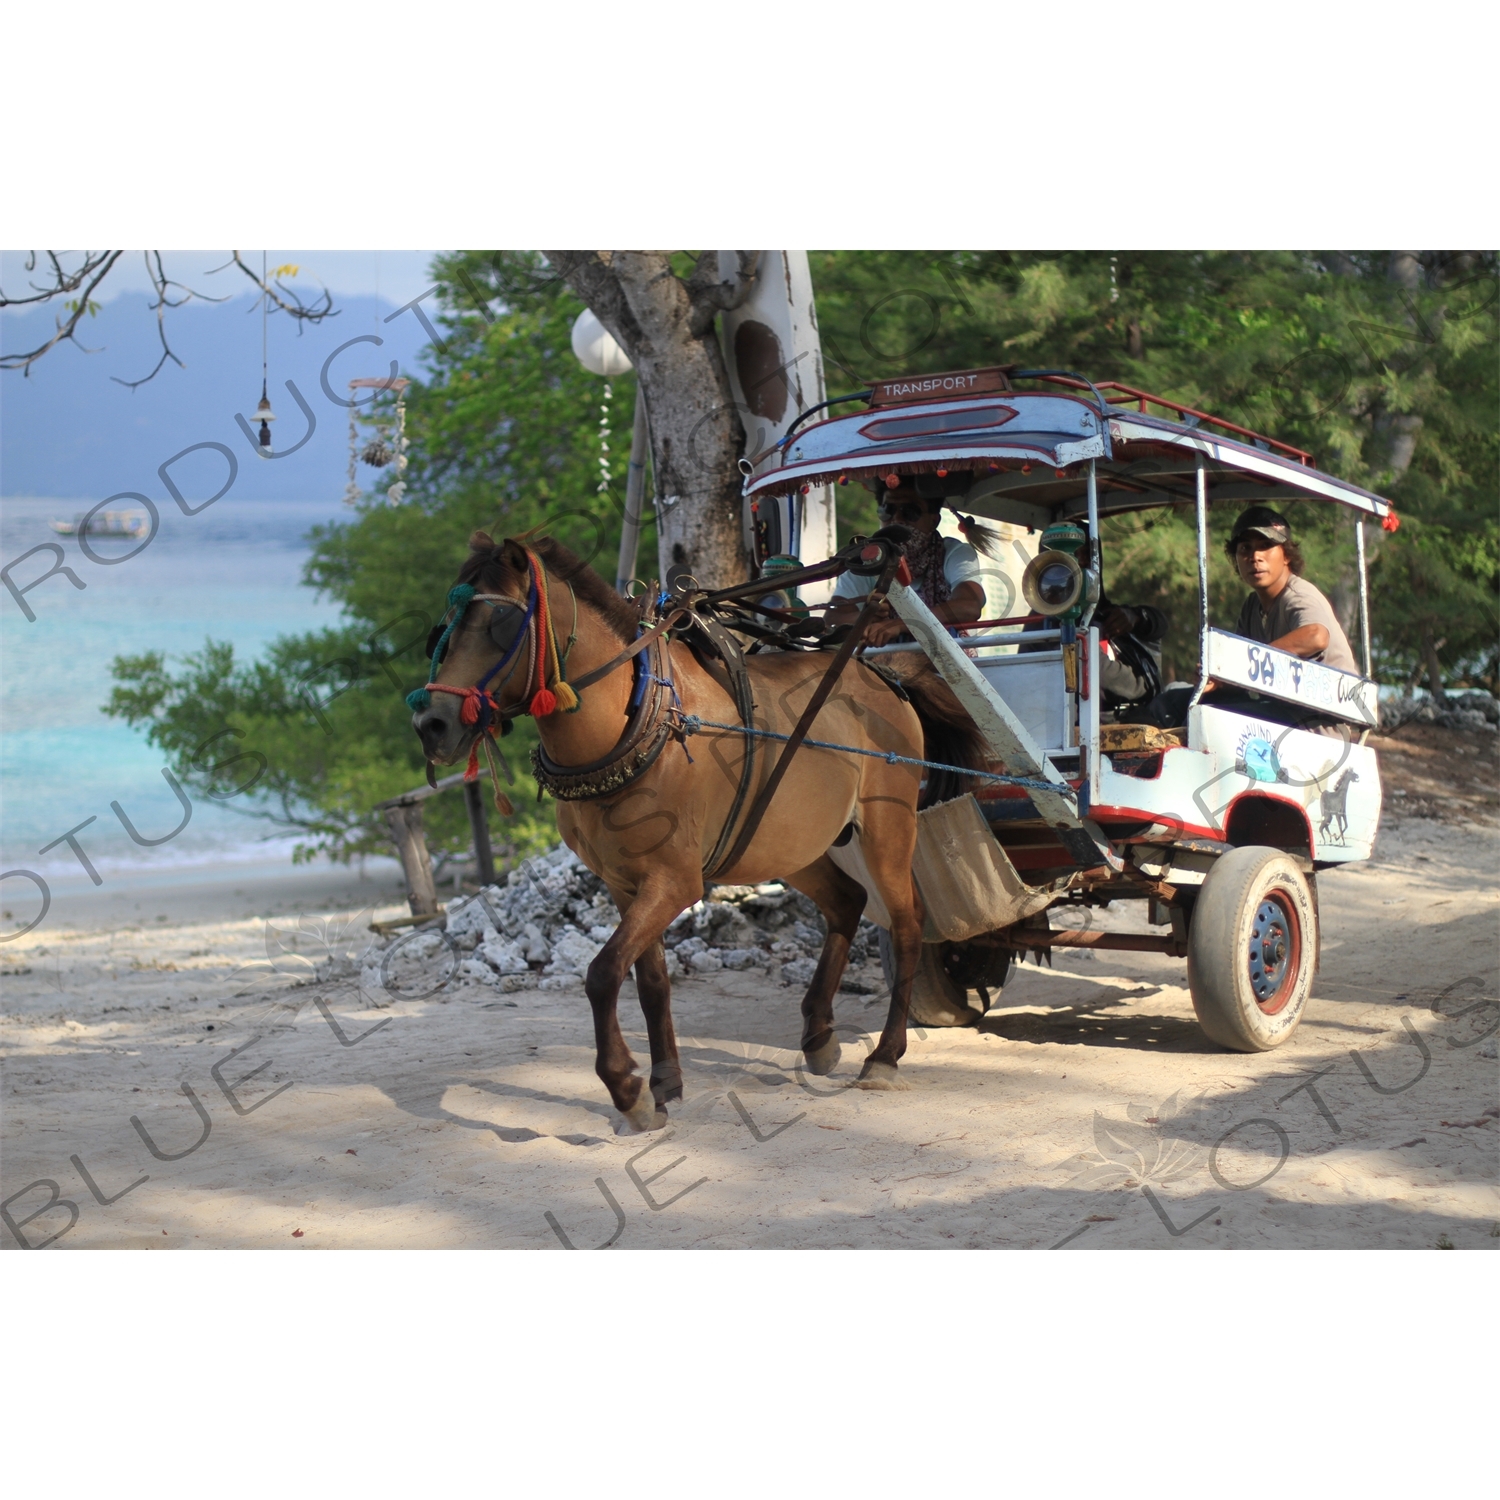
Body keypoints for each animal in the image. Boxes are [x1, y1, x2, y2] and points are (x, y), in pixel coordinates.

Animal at [411, 534, 984, 1128]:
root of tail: (886, 676)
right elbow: (650, 980)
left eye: (498, 623)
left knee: (908, 922)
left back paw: (885, 1056)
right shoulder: (623, 884)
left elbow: (603, 972)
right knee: (847, 901)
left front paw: (627, 1088)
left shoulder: (674, 880)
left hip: (888, 827)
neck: (634, 721)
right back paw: (818, 1034)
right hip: (789, 845)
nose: (431, 725)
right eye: (443, 628)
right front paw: (664, 1082)